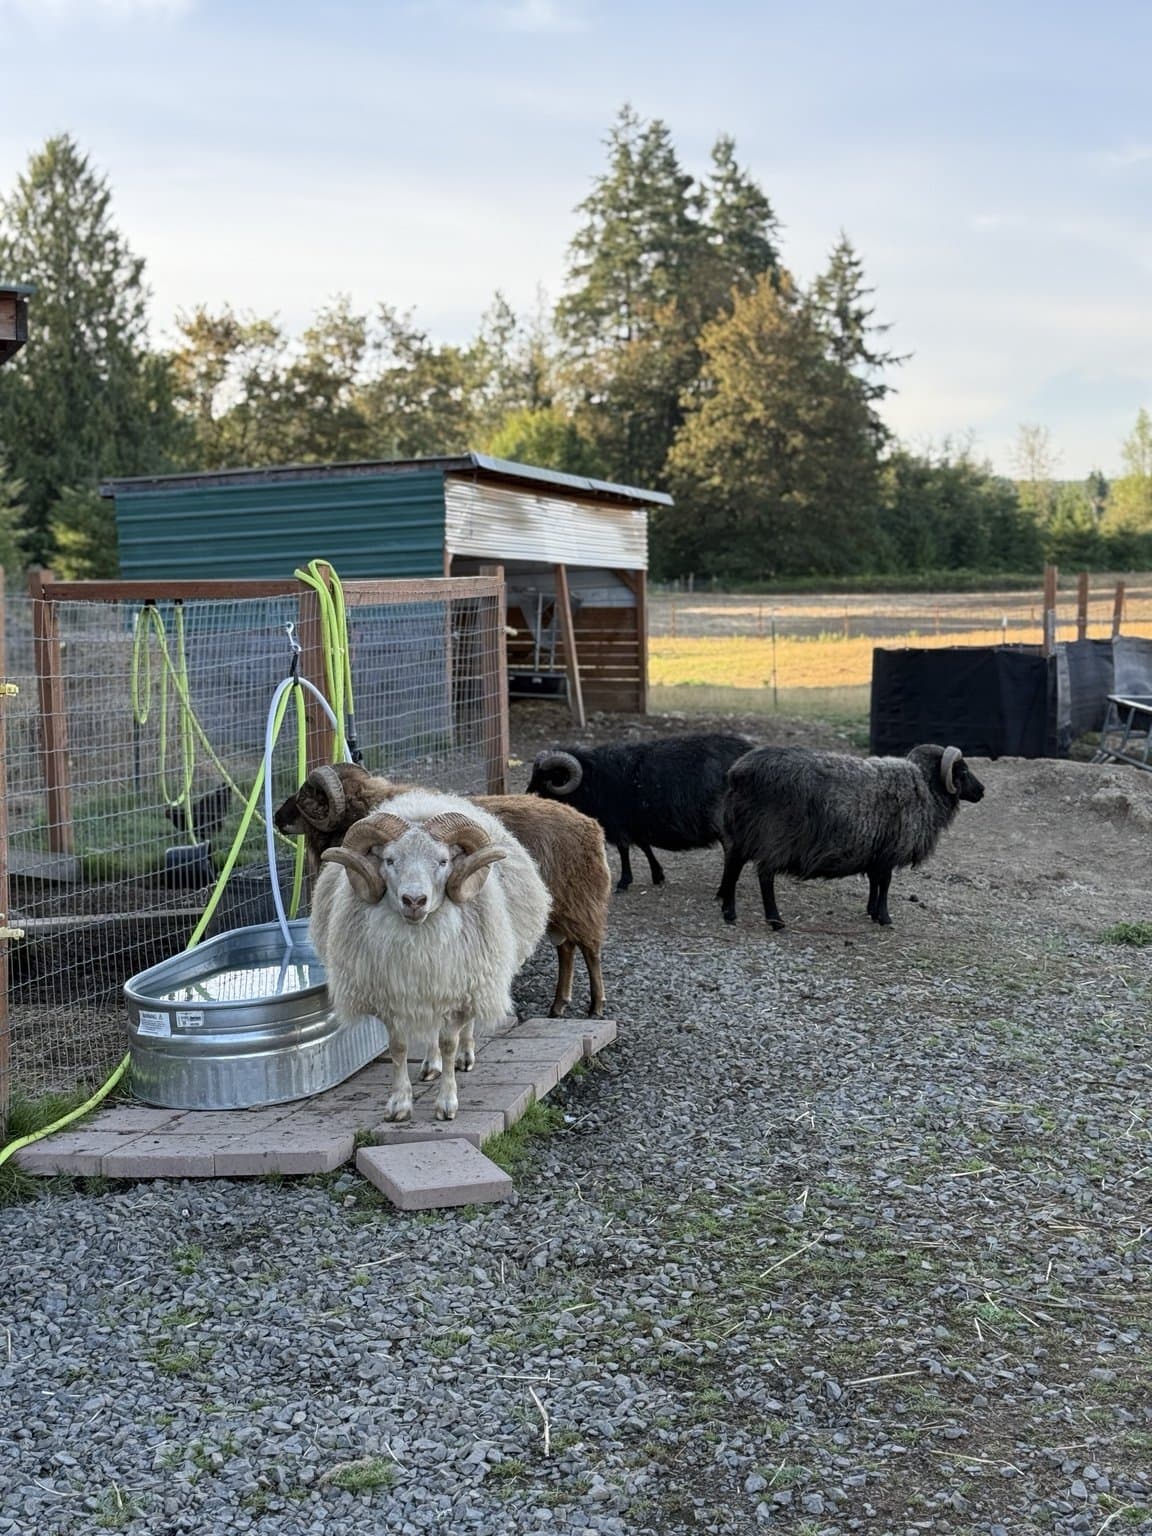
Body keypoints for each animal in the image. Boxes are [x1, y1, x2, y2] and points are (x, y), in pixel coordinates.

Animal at [275, 762, 612, 1019]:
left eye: (306, 795)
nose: (278, 817)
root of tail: (592, 826)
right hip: (559, 909)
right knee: (567, 950)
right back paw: (558, 1005)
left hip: (582, 903)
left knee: (591, 951)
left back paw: (596, 1006)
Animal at [310, 790, 550, 1123]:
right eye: (390, 860)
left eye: (443, 861)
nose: (414, 900)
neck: (418, 943)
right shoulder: (394, 996)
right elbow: (398, 1047)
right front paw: (399, 1104)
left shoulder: (458, 991)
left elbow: (449, 1041)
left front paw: (447, 1103)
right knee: (431, 1031)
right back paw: (430, 1065)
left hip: (475, 978)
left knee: (465, 1027)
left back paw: (465, 1056)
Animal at [525, 733, 754, 891]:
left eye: (549, 777)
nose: (527, 797)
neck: (591, 780)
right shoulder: (635, 822)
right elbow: (644, 846)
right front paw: (658, 875)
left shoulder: (618, 823)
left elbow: (624, 849)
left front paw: (623, 882)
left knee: (730, 848)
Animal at [717, 743, 986, 929]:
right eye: (963, 771)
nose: (982, 791)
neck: (925, 787)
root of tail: (738, 772)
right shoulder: (888, 851)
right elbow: (885, 883)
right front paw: (885, 917)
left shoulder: (875, 851)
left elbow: (875, 882)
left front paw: (872, 911)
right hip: (773, 836)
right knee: (765, 876)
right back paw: (775, 921)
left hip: (744, 831)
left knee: (733, 864)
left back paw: (729, 912)